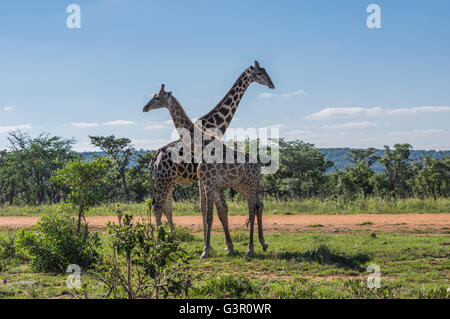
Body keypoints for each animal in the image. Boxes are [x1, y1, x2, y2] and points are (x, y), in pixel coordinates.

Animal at [143, 85, 268, 260]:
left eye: (157, 98)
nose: (145, 108)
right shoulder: (208, 183)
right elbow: (212, 212)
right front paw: (218, 248)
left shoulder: (210, 183)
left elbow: (210, 213)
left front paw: (208, 250)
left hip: (248, 185)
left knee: (253, 208)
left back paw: (251, 248)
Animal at [148, 63, 274, 232]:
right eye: (260, 73)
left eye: (265, 72)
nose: (271, 85)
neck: (216, 124)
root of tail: (153, 161)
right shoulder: (205, 177)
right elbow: (209, 208)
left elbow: (207, 208)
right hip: (165, 181)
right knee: (159, 207)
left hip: (168, 182)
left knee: (166, 207)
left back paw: (170, 234)